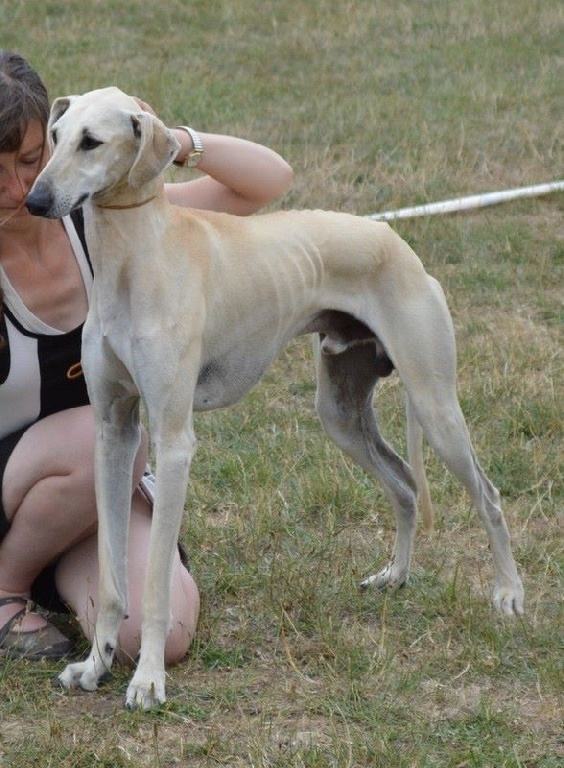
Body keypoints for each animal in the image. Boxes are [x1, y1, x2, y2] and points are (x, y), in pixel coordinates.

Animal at [25, 88, 524, 708]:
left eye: (92, 141)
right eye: (55, 135)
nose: (34, 200)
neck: (137, 254)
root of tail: (396, 241)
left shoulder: (173, 443)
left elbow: (156, 586)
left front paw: (147, 679)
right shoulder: (114, 434)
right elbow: (115, 581)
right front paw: (95, 665)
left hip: (436, 408)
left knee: (488, 495)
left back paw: (508, 593)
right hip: (340, 413)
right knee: (406, 484)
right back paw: (396, 575)